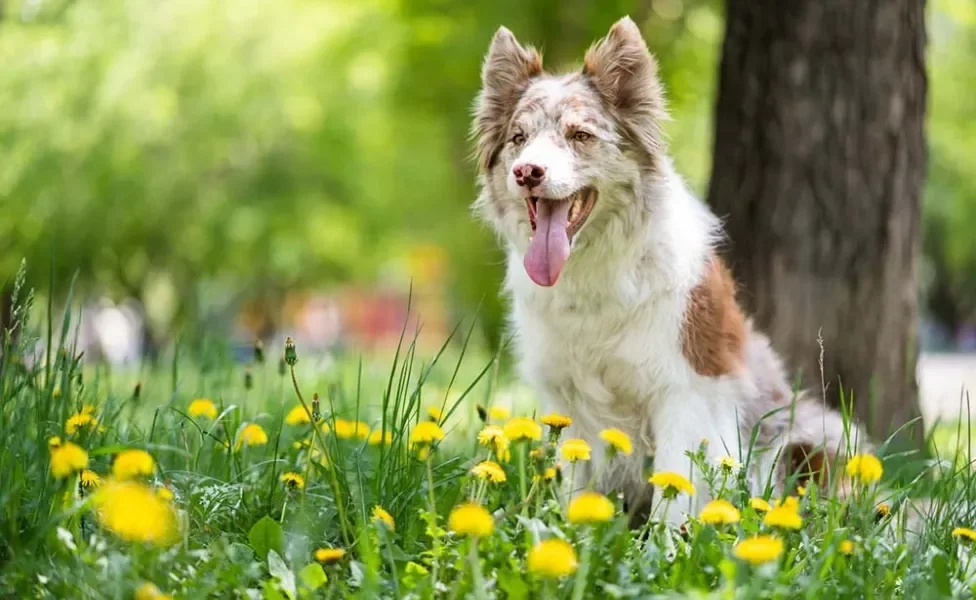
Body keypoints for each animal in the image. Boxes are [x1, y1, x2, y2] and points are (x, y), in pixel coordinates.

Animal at [468, 16, 864, 524]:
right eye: (518, 138)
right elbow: (574, 490)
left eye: (580, 136)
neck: (591, 271)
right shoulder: (566, 402)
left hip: (814, 436)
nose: (527, 172)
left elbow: (673, 495)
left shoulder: (685, 393)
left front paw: (665, 543)